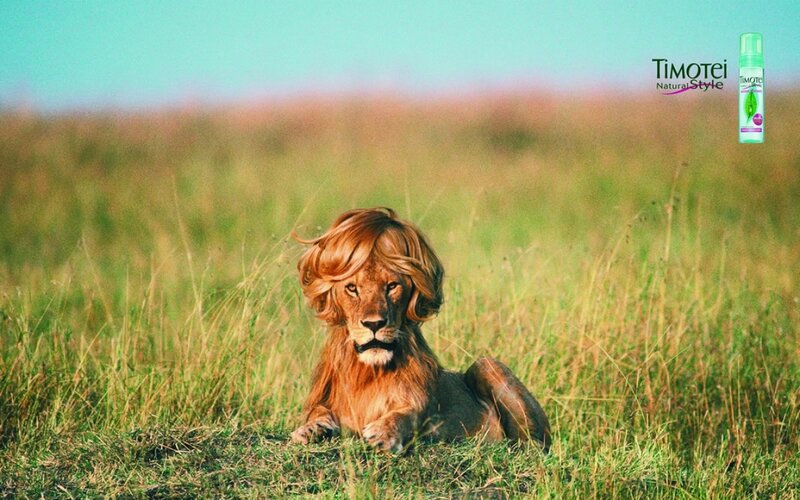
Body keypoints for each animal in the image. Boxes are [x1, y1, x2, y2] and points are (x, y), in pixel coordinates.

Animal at [290, 207, 551, 452]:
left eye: (392, 286)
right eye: (352, 288)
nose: (374, 324)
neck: (368, 372)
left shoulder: (424, 408)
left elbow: (407, 414)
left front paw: (384, 433)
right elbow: (318, 411)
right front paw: (311, 429)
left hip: (487, 365)